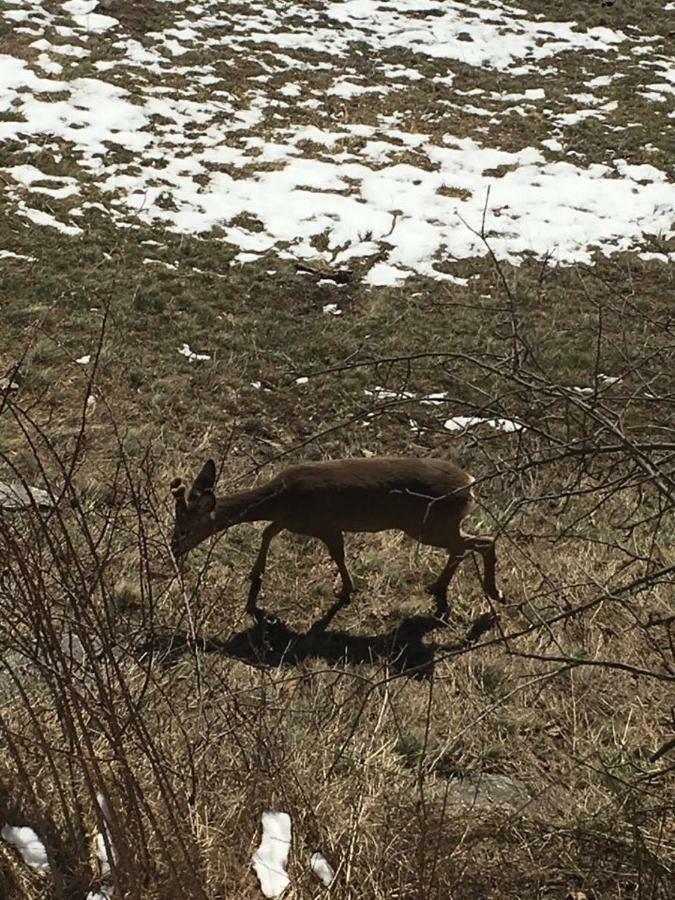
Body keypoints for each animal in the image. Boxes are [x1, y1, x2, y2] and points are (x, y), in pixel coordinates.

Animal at [172, 458, 504, 620]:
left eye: (185, 529)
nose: (174, 549)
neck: (279, 498)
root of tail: (469, 485)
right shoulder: (290, 521)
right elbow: (268, 532)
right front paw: (256, 573)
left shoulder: (323, 525)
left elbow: (338, 555)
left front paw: (346, 590)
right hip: (437, 525)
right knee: (465, 546)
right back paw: (439, 587)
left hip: (427, 525)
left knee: (482, 541)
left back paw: (494, 592)